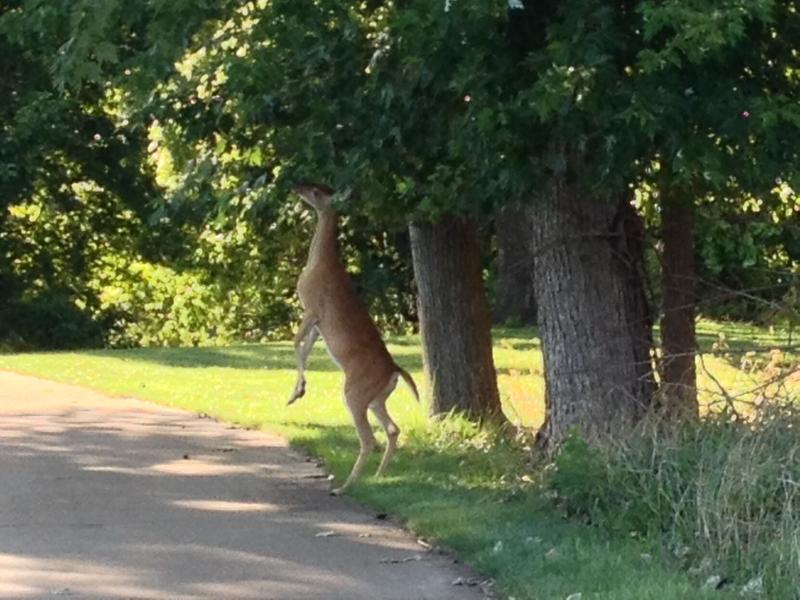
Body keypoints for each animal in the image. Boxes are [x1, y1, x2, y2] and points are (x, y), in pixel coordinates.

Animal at [287, 183, 419, 495]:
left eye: (317, 191)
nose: (296, 185)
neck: (319, 263)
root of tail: (395, 370)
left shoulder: (312, 308)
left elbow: (295, 343)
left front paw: (298, 391)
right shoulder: (318, 324)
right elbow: (304, 349)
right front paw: (297, 392)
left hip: (355, 393)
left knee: (369, 438)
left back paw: (344, 486)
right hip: (377, 398)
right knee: (392, 429)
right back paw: (379, 477)